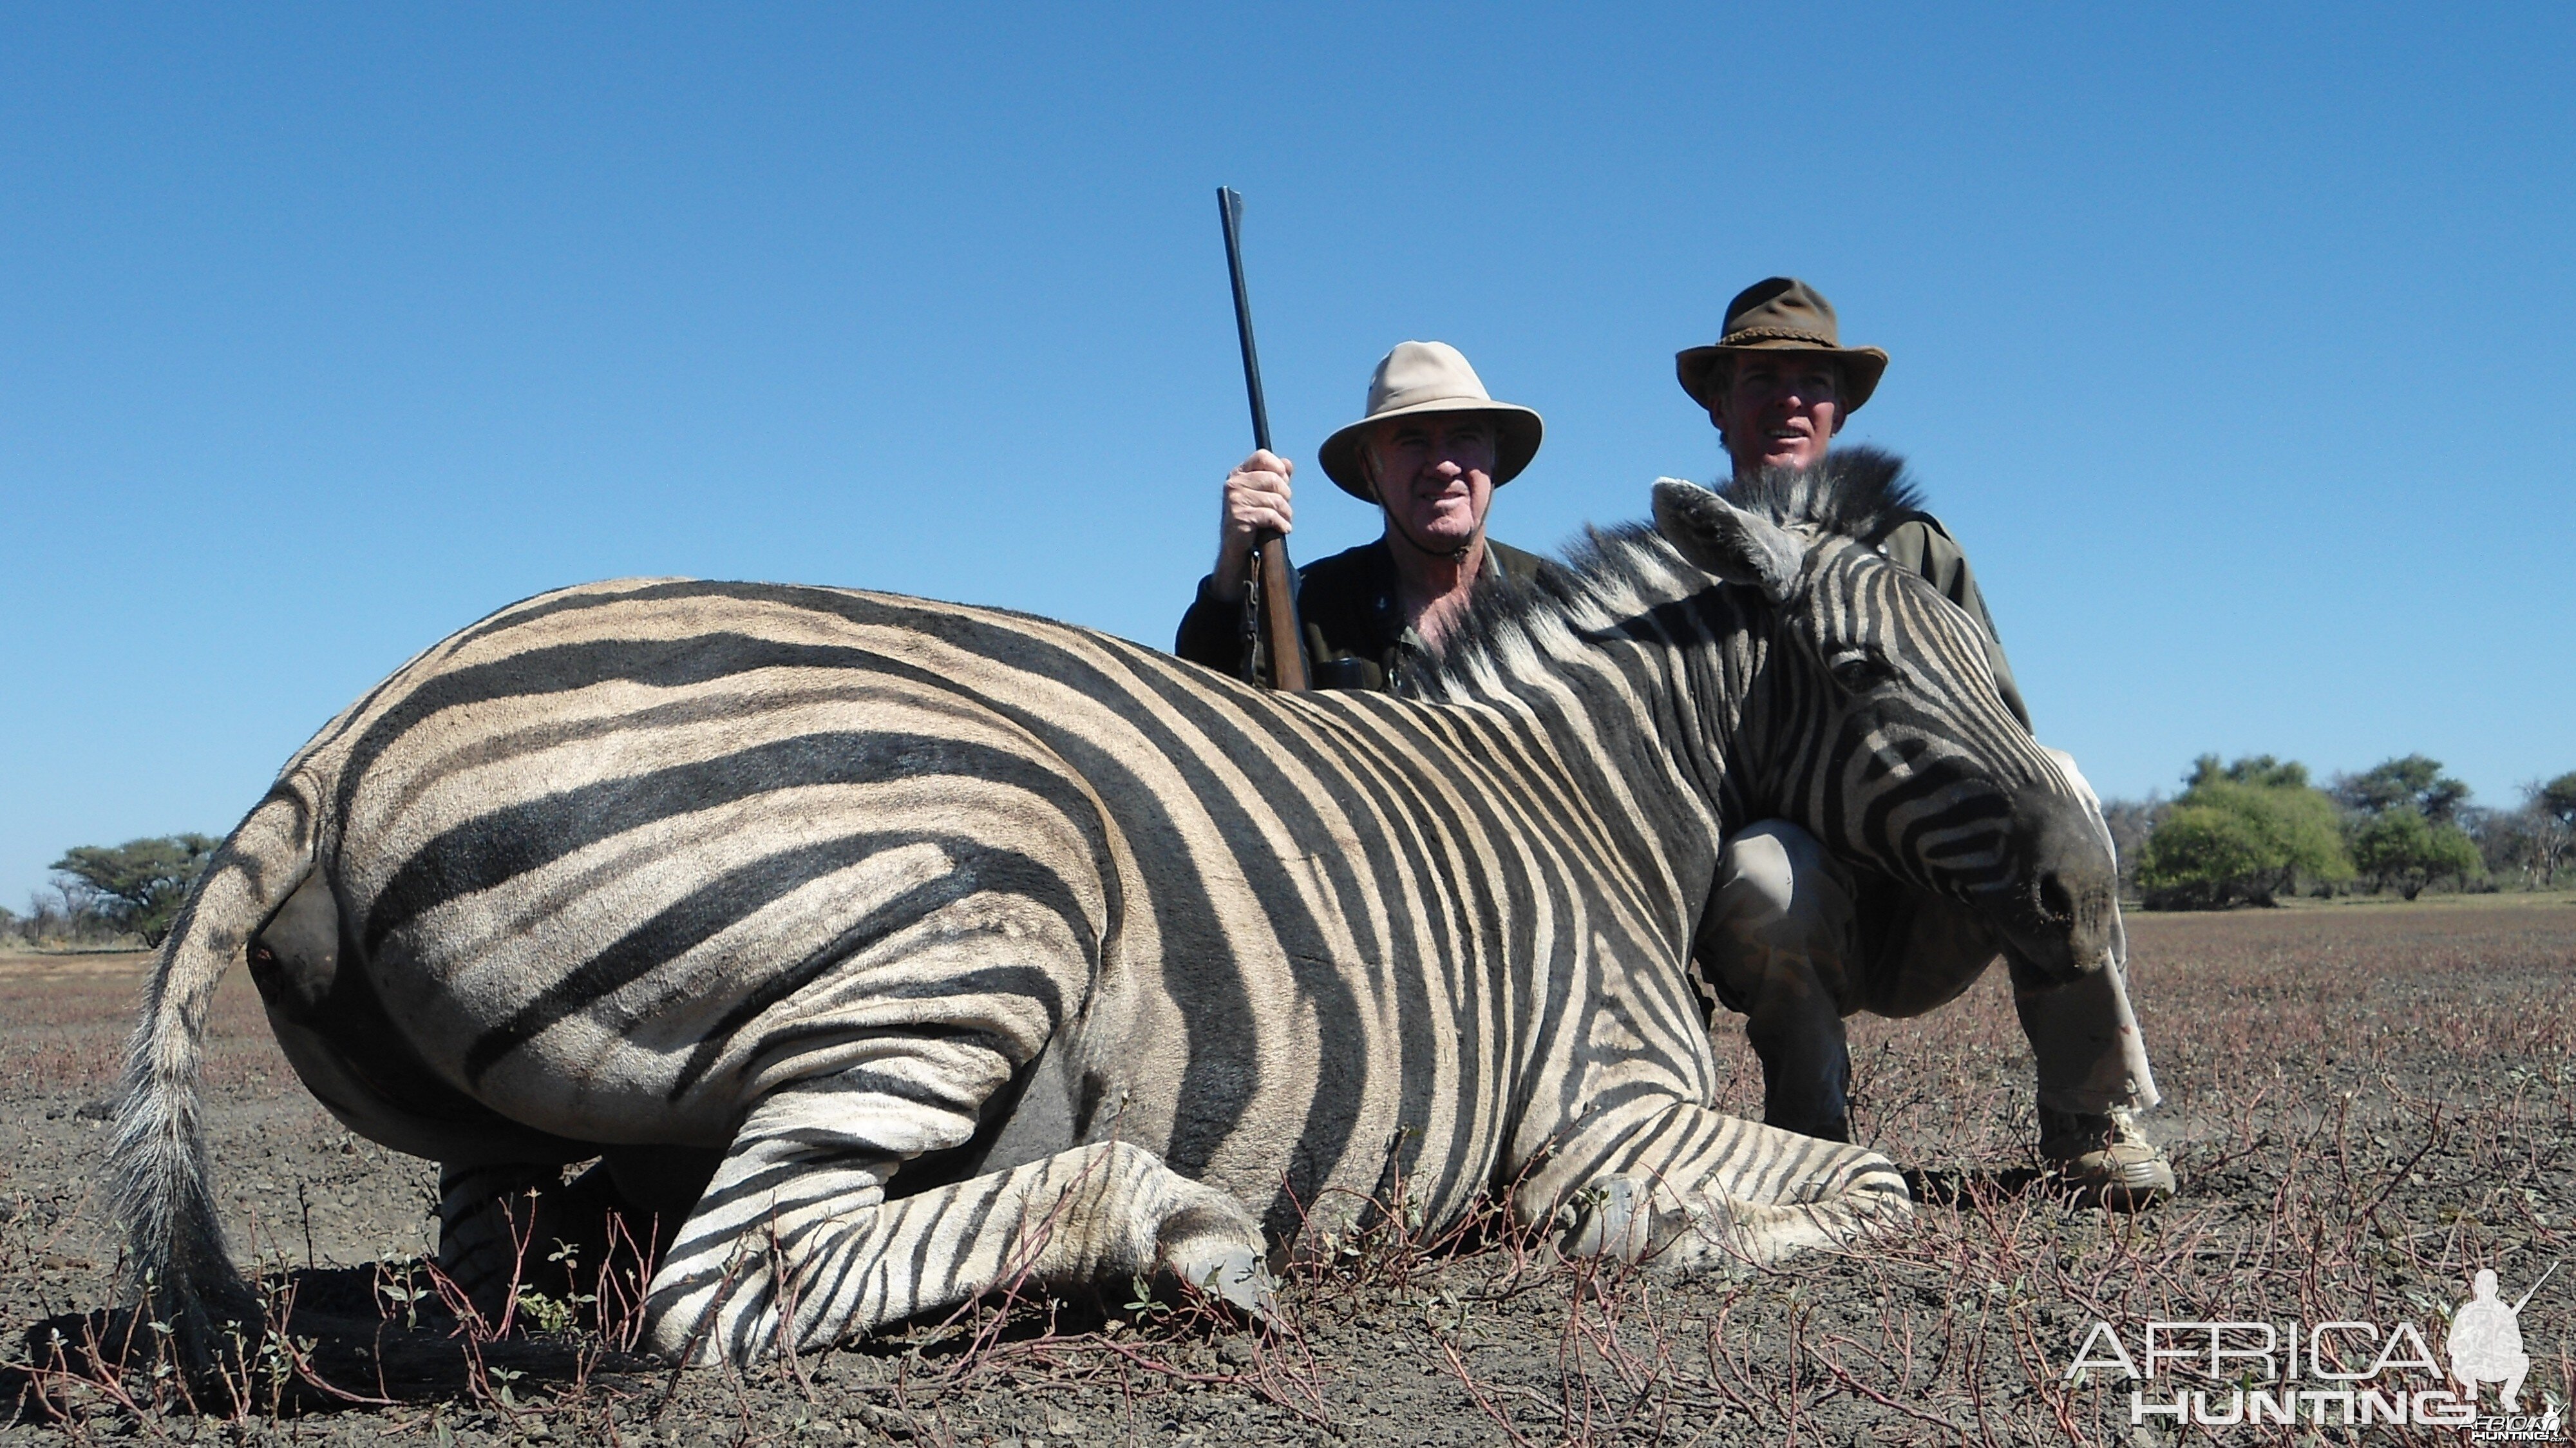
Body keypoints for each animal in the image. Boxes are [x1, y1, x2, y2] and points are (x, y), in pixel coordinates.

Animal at [111, 459, 2112, 1360]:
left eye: (1997, 657)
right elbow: (1862, 1182)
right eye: (1867, 675)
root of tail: (350, 728)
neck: (1586, 800)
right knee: (730, 1277)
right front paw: (1652, 1237)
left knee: (521, 1247)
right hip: (983, 887)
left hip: (524, 1130)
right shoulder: (1598, 1103)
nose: (2087, 884)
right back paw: (1176, 1230)